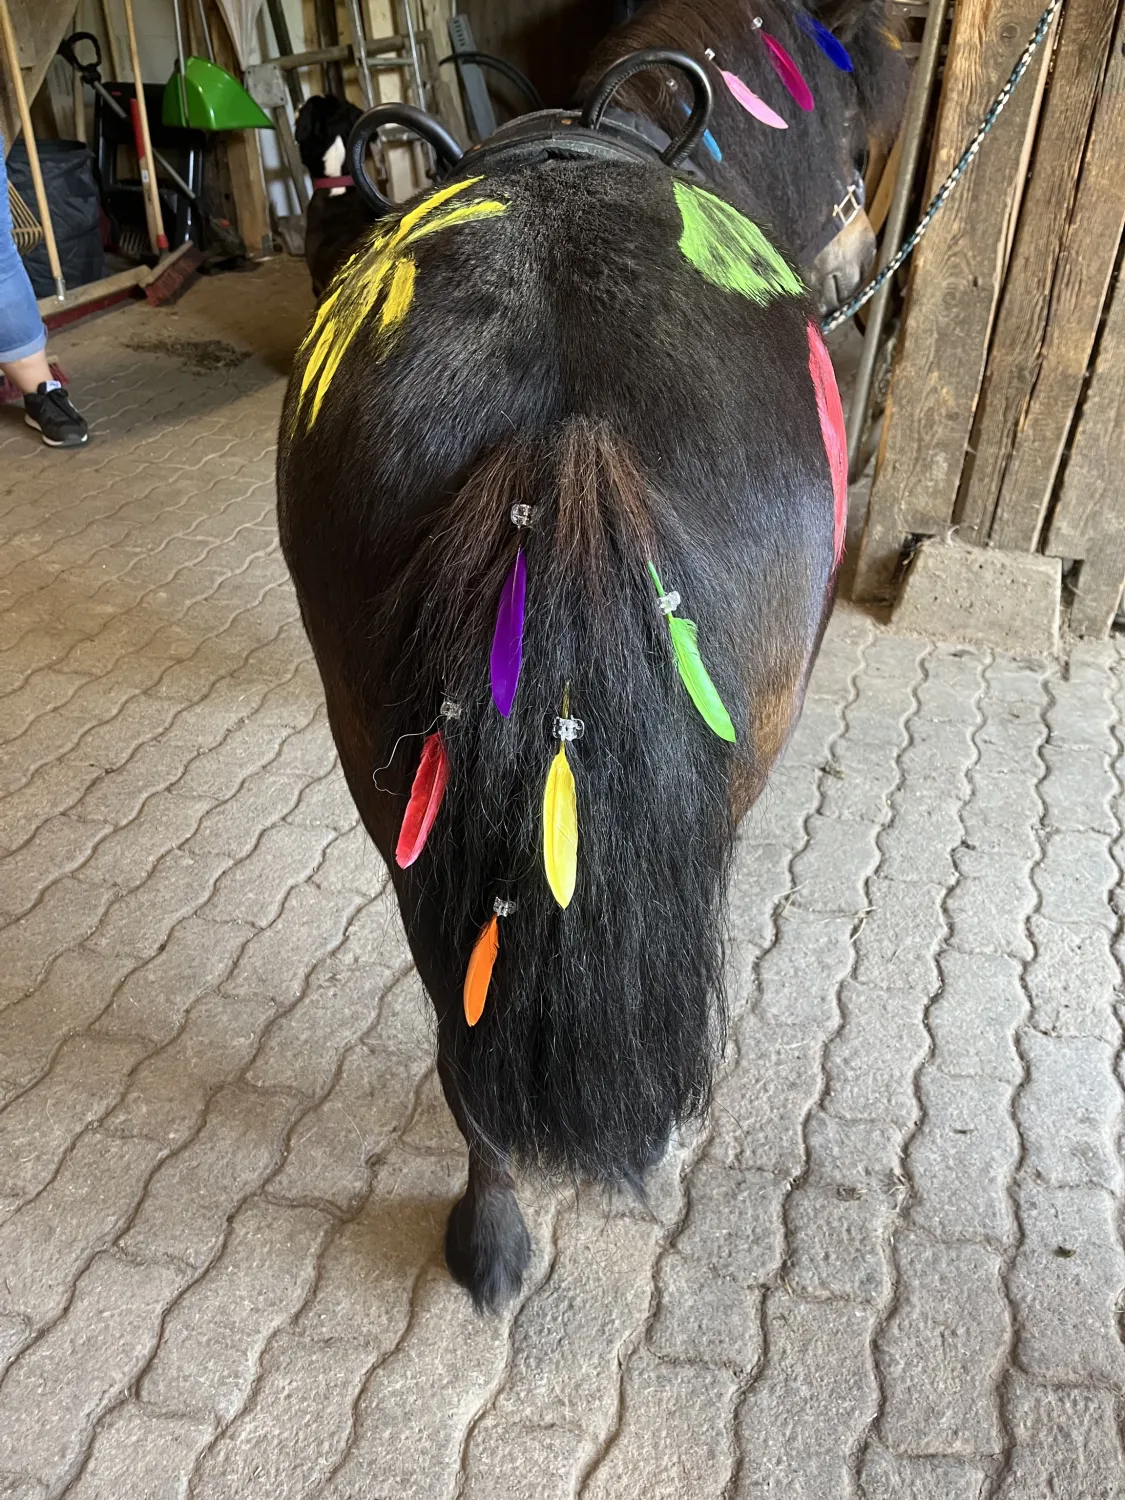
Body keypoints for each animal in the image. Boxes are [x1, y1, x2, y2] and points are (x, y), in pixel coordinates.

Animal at [276, 1, 907, 1311]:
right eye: (846, 126)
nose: (853, 265)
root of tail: (563, 434)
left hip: (402, 790)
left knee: (459, 1028)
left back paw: (491, 1233)